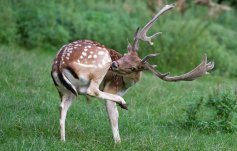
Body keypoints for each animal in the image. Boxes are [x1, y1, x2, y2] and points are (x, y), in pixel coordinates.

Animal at [51, 4, 214, 144]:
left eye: (133, 67)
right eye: (125, 56)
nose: (114, 65)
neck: (126, 85)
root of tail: (59, 62)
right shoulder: (111, 88)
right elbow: (113, 116)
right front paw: (118, 142)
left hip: (65, 90)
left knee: (62, 107)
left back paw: (63, 140)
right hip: (100, 63)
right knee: (91, 90)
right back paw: (123, 103)